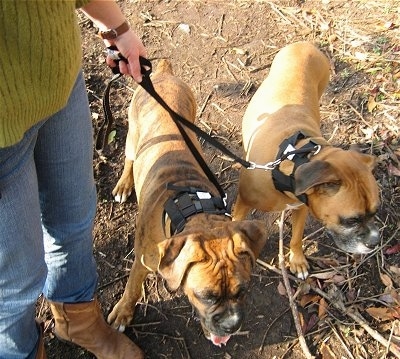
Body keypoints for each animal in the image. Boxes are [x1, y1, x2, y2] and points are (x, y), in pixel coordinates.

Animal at [108, 60, 268, 348]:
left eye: (242, 291)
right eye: (207, 296)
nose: (232, 324)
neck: (193, 207)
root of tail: (162, 72)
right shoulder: (142, 260)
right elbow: (132, 289)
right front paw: (123, 313)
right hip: (132, 136)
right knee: (129, 158)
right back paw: (125, 183)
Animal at [231, 40, 378, 280]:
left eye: (375, 212)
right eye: (351, 220)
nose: (375, 242)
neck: (294, 158)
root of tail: (305, 44)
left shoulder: (301, 206)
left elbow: (297, 236)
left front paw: (297, 260)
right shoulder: (243, 202)